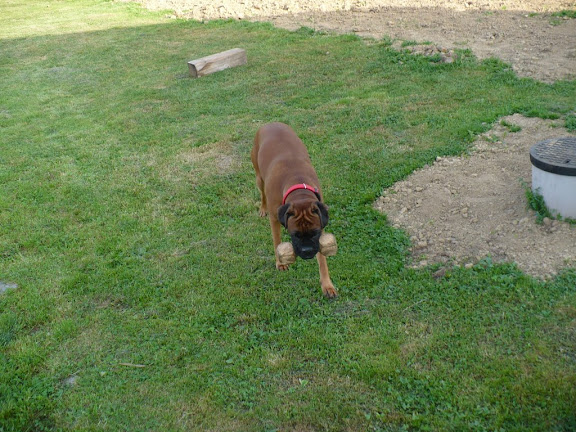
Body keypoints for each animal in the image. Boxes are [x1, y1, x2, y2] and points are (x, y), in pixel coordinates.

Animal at [251, 122, 337, 298]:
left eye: (315, 233)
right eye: (295, 234)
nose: (307, 251)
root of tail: (271, 123)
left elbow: (323, 260)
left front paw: (327, 284)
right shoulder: (274, 219)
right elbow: (277, 241)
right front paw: (280, 262)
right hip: (258, 178)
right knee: (262, 194)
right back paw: (262, 208)